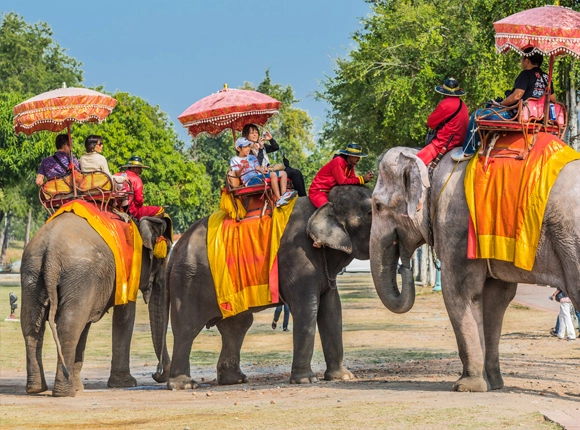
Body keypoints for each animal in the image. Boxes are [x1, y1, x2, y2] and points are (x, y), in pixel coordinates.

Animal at [22, 213, 172, 398]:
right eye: (163, 258)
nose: (156, 374)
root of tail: (50, 253)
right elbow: (125, 316)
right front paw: (125, 383)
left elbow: (85, 326)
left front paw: (79, 387)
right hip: (79, 275)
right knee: (69, 326)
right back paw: (65, 392)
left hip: (33, 271)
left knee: (32, 325)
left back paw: (36, 388)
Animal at [161, 186, 374, 390]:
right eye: (371, 212)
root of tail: (176, 247)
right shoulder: (297, 257)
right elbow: (307, 309)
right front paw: (306, 380)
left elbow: (332, 310)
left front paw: (343, 376)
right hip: (189, 279)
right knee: (188, 328)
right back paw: (184, 385)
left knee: (236, 326)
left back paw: (235, 380)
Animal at [372, 148, 580, 394]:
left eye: (377, 205)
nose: (404, 265)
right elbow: (495, 298)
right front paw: (493, 385)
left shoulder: (455, 224)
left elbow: (461, 292)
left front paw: (466, 386)